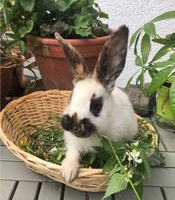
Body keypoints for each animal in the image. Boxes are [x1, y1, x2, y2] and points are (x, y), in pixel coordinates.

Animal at [54, 25, 138, 183]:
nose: (72, 124)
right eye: (70, 97)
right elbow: (72, 154)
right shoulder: (72, 143)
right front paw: (68, 172)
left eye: (96, 106)